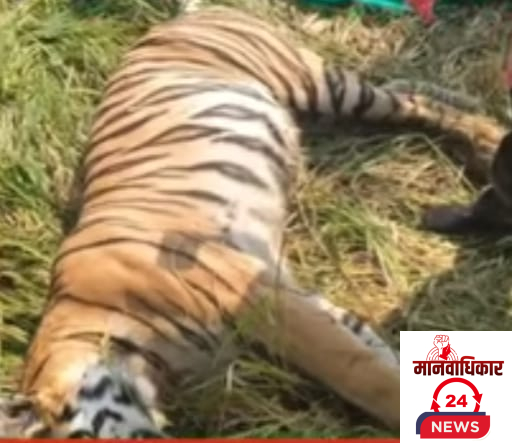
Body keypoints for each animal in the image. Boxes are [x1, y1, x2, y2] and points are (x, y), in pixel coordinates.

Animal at [0, 6, 508, 438]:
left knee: (408, 100)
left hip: (318, 82)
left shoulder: (256, 297)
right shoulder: (294, 292)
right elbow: (373, 350)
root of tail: (185, 16)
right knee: (411, 94)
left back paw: (488, 139)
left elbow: (358, 372)